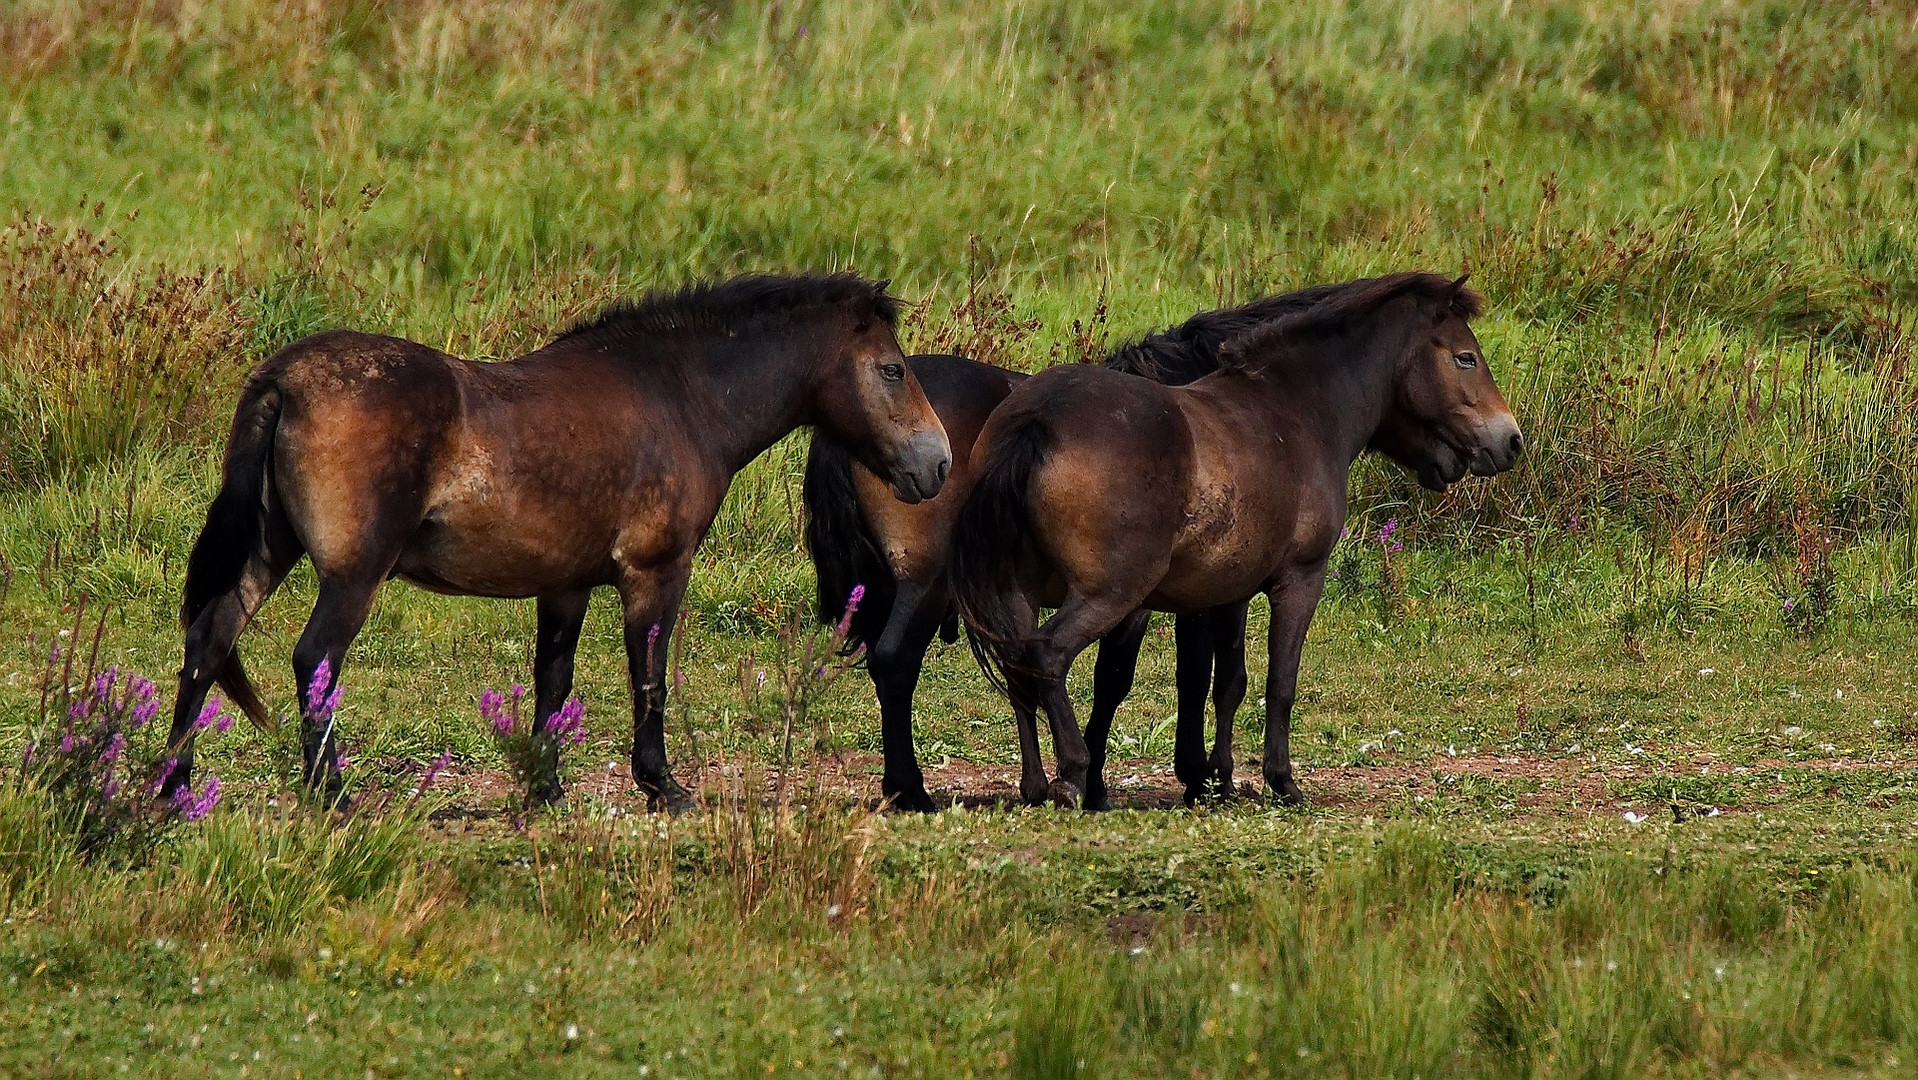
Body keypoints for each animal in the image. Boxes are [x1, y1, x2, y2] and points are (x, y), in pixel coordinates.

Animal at [168, 272, 947, 813]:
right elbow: (649, 676)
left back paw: (173, 786)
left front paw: (545, 789)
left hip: (269, 552)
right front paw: (663, 786)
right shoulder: (655, 573)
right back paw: (331, 793)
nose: (936, 463)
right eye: (892, 369)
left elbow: (554, 679)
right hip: (352, 574)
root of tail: (284, 380)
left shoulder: (566, 585)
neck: (679, 396)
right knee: (314, 662)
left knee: (208, 640)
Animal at [801, 287, 1342, 813]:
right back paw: (912, 791)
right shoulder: (1157, 597)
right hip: (926, 585)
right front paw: (1170, 779)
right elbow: (1143, 678)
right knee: (895, 663)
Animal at [951, 274, 1519, 805]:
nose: (1510, 441)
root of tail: (1037, 419)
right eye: (1466, 358)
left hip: (1017, 593)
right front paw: (1280, 781)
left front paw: (1219, 780)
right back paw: (1072, 773)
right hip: (1109, 594)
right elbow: (1279, 684)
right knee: (1046, 656)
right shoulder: (1299, 580)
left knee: (1019, 669)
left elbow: (1227, 684)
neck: (1295, 410)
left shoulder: (1229, 592)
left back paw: (1034, 783)